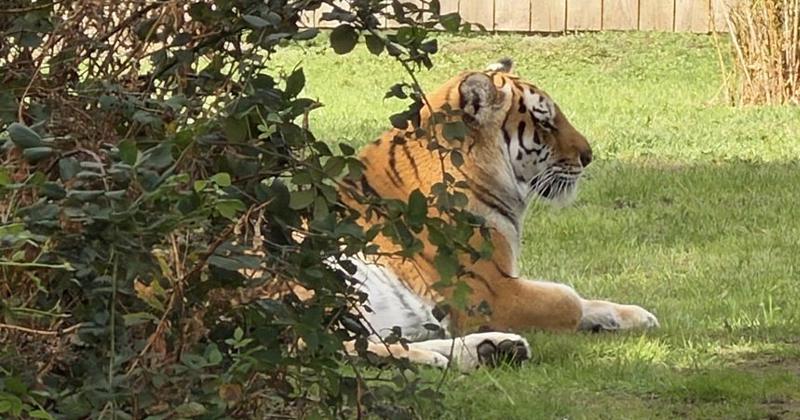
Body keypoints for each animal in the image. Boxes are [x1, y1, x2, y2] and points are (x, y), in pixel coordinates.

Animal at [314, 57, 658, 371]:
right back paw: (442, 357)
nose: (587, 156)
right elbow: (568, 299)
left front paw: (637, 316)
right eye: (545, 123)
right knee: (324, 347)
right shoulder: (491, 292)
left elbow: (589, 301)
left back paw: (492, 349)